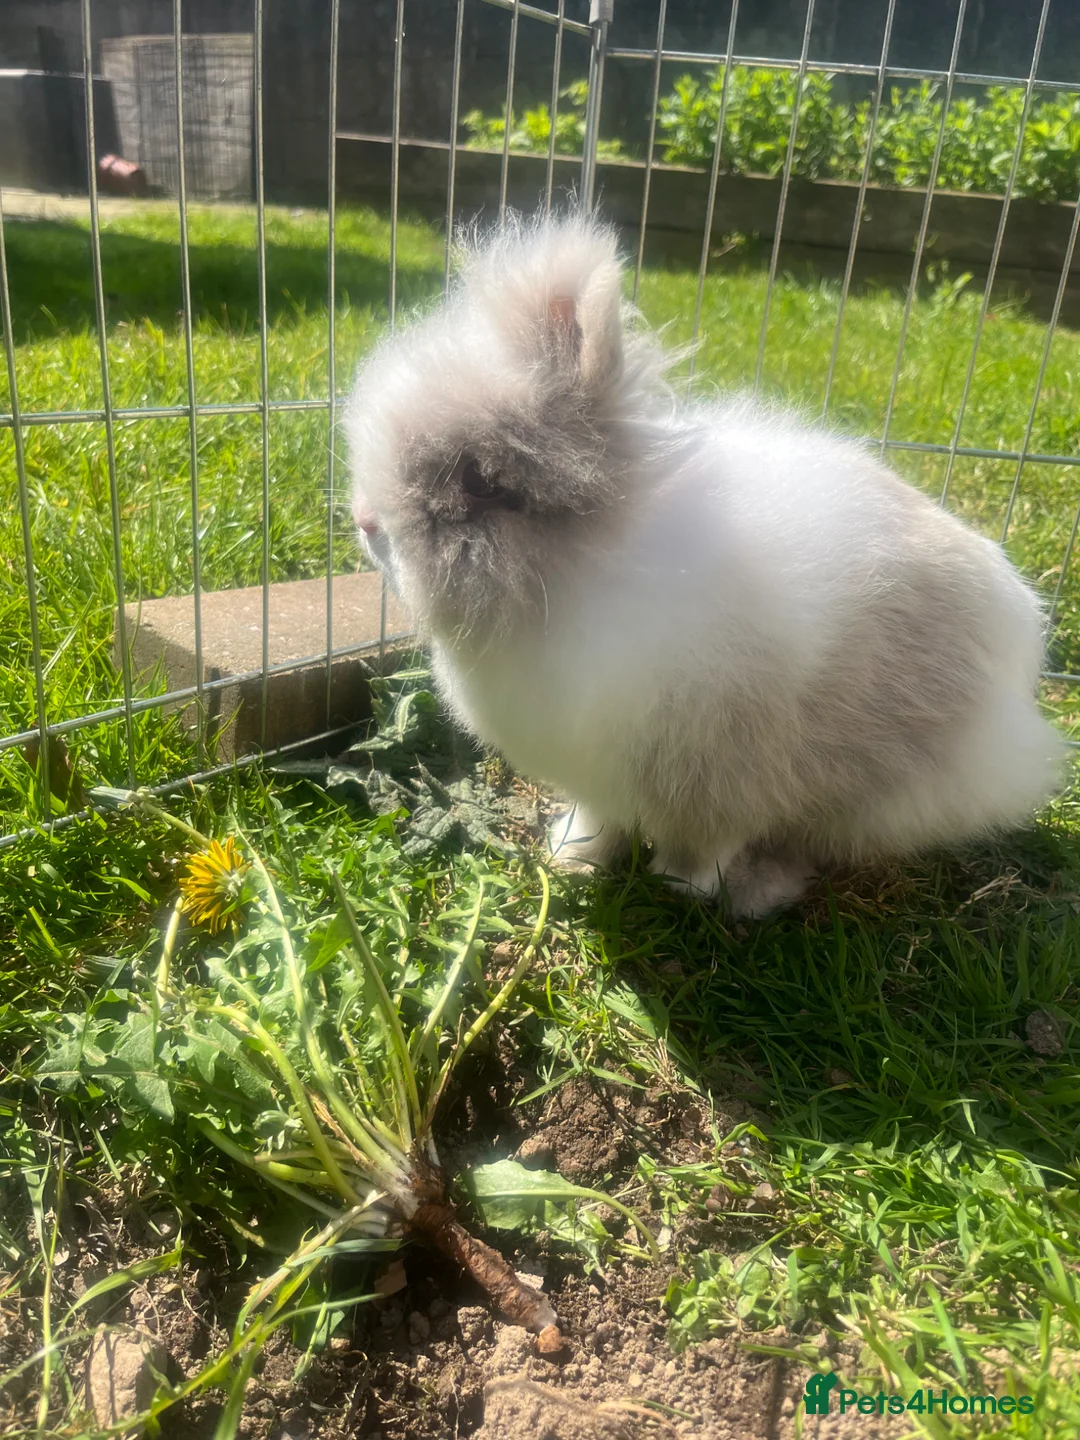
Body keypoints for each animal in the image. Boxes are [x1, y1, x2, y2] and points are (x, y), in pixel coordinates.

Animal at [345, 212, 1066, 917]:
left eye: (483, 484)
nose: (365, 520)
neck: (580, 578)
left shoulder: (721, 774)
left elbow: (703, 845)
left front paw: (681, 890)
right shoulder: (597, 771)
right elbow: (601, 820)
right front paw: (573, 858)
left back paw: (761, 889)